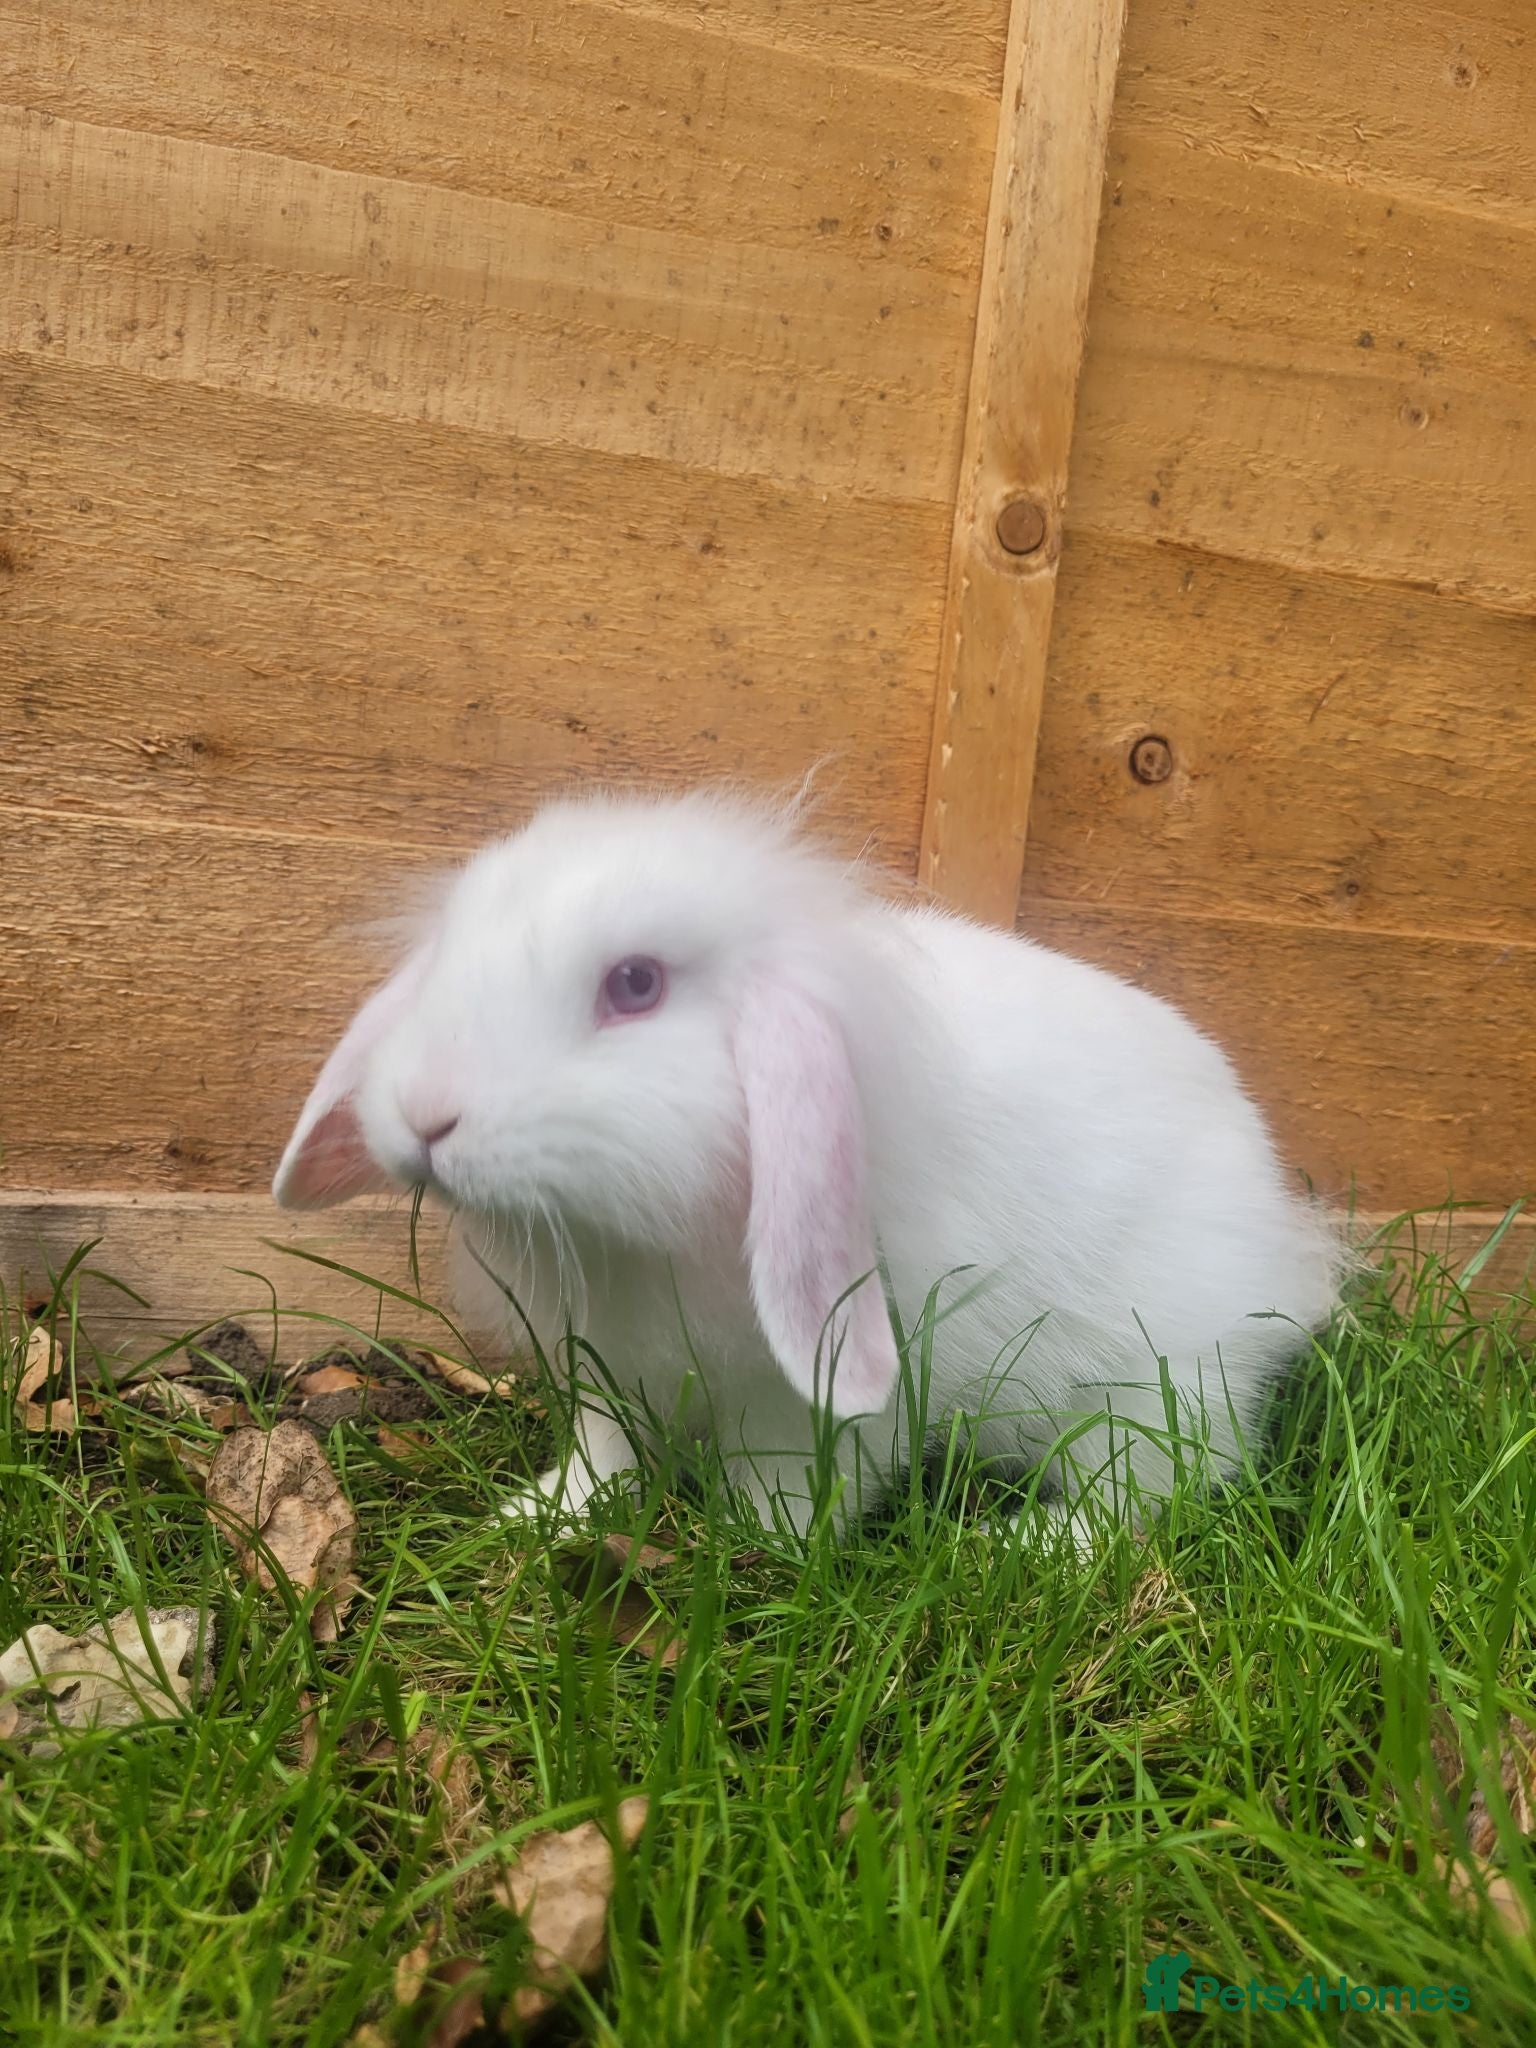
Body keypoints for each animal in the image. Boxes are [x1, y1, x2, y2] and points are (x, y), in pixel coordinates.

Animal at [273, 786, 1340, 1537]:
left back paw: (1024, 1545)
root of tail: (1288, 1252)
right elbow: (605, 1454)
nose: (424, 1115)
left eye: (635, 984)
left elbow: (792, 1482)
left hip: (1157, 1389)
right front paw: (540, 1519)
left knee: (1152, 1495)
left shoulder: (818, 1397)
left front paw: (758, 1546)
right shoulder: (612, 1370)